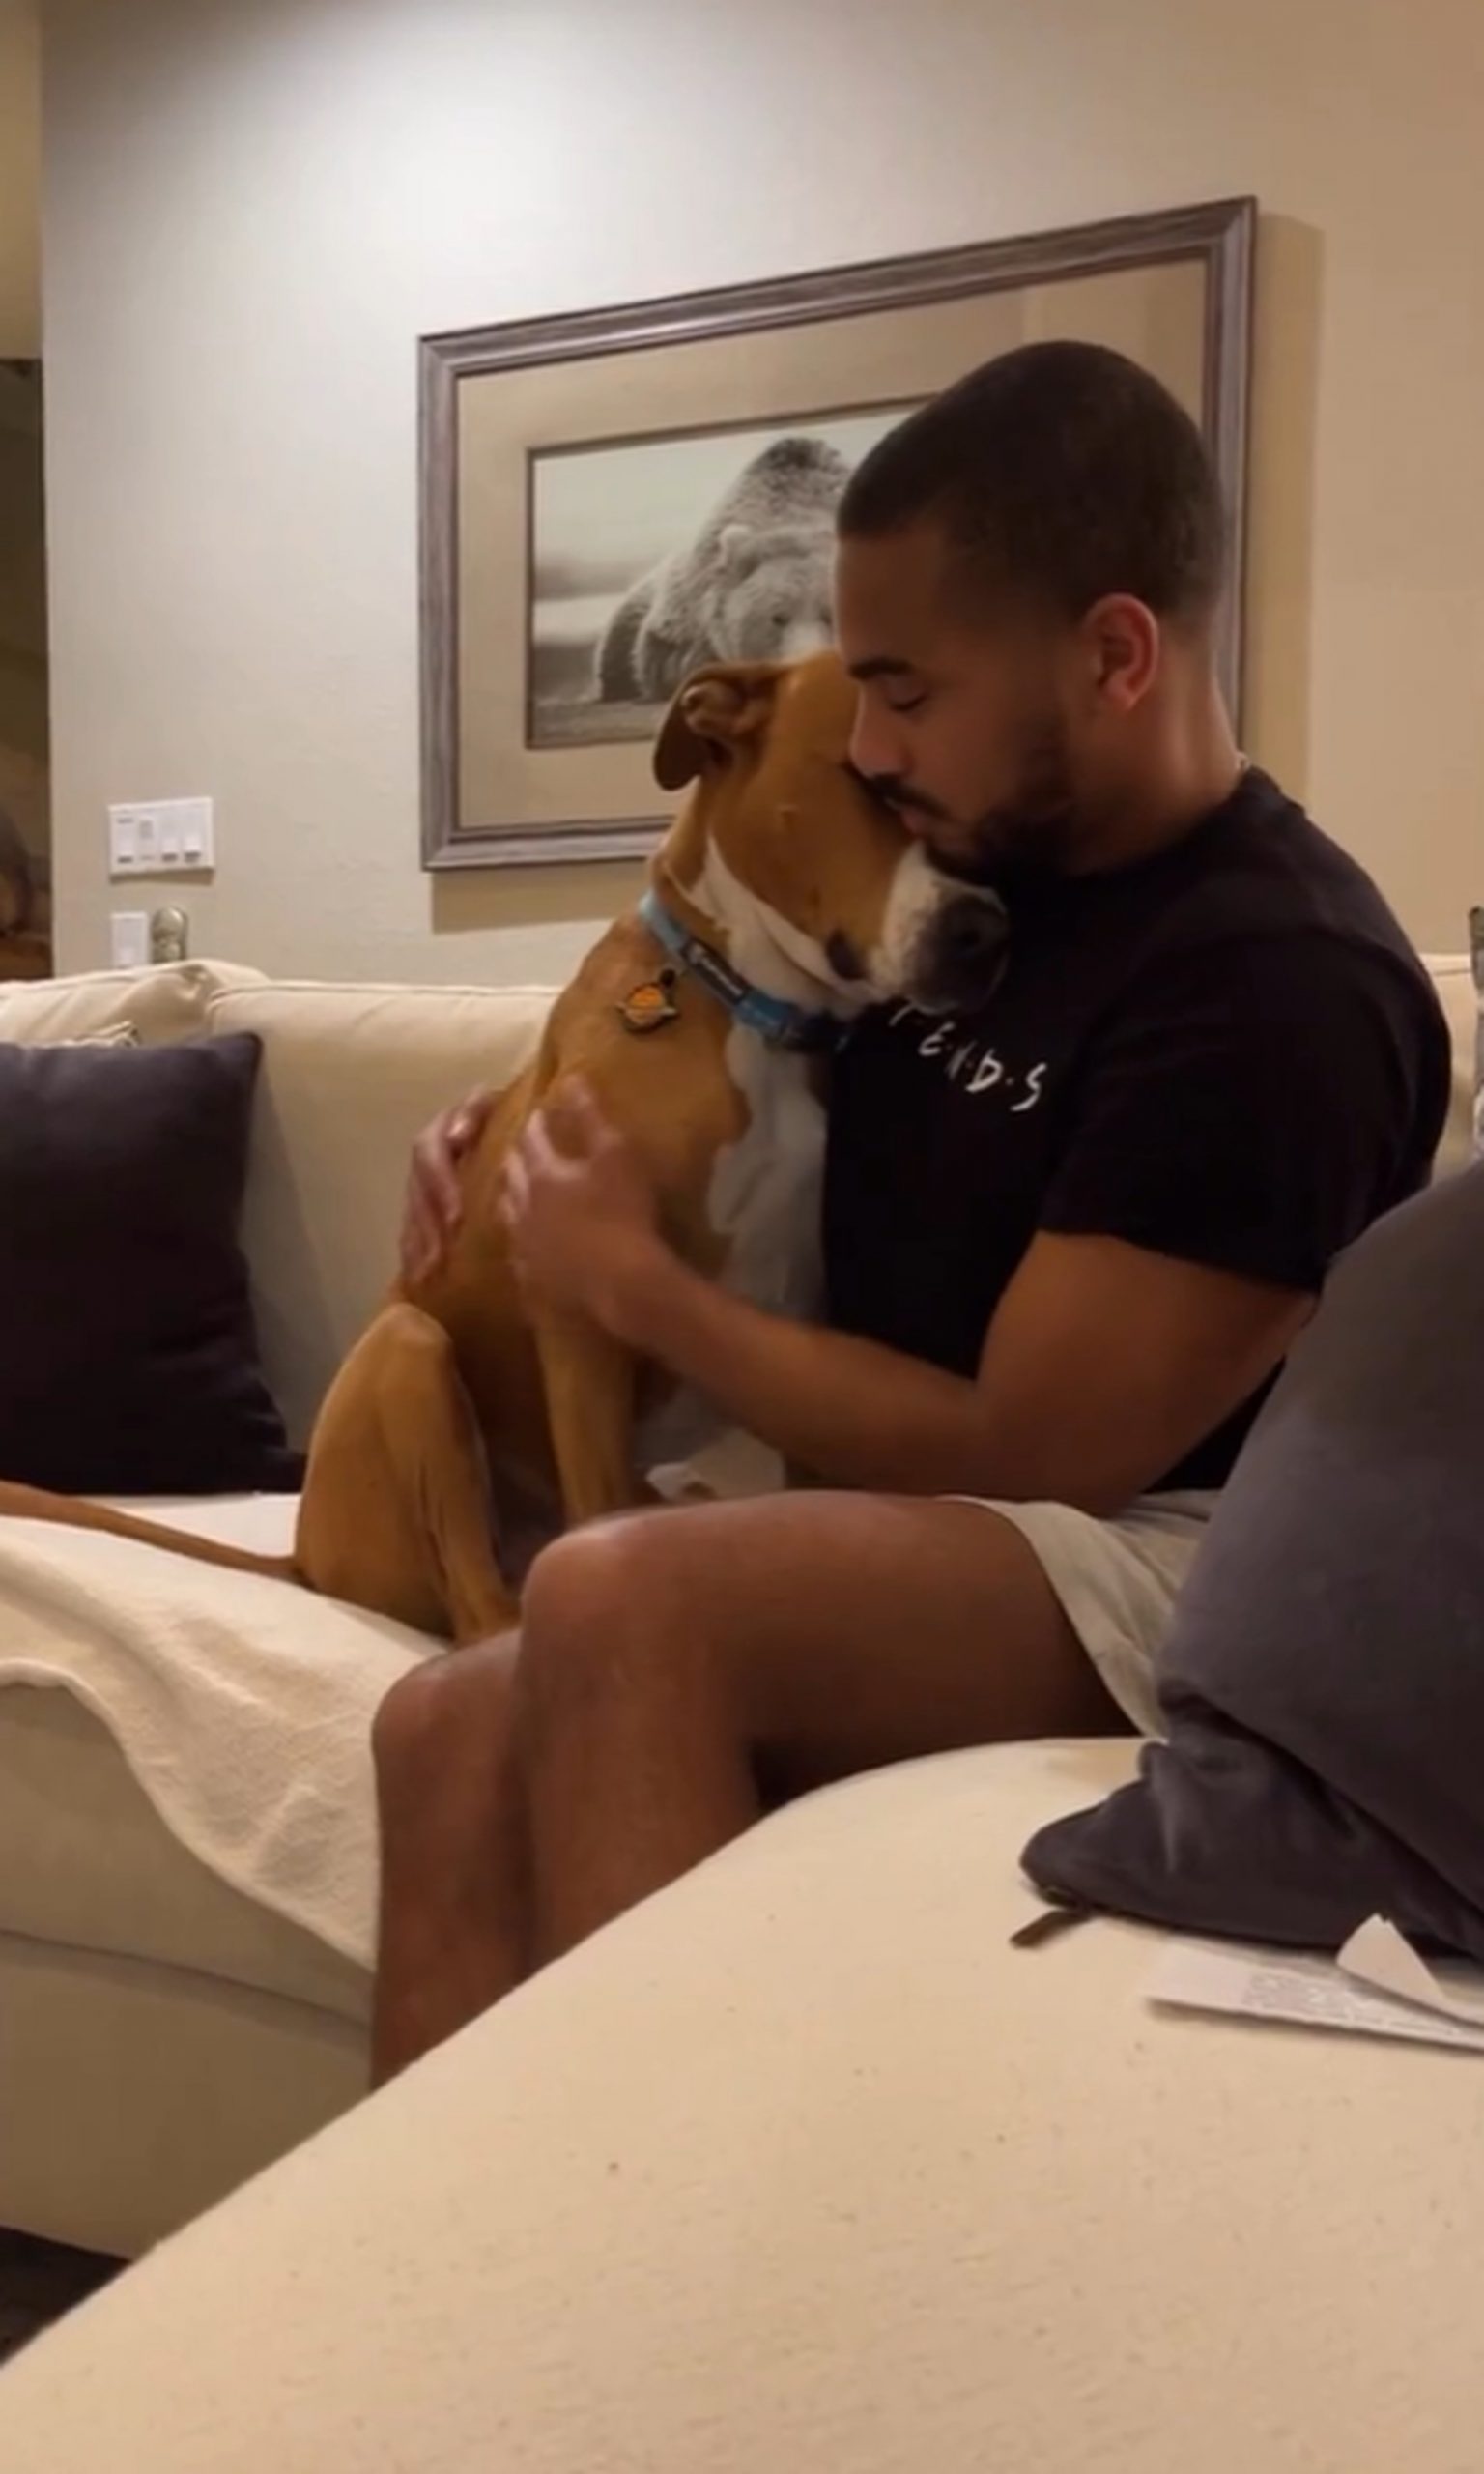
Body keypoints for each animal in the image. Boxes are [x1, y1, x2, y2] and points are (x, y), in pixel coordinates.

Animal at [0, 652, 1009, 1642]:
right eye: (877, 784)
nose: (985, 931)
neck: (748, 1010)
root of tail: (305, 1554)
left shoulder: (807, 1330)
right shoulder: (578, 1312)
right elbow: (599, 1506)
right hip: (411, 1354)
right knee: (478, 1604)